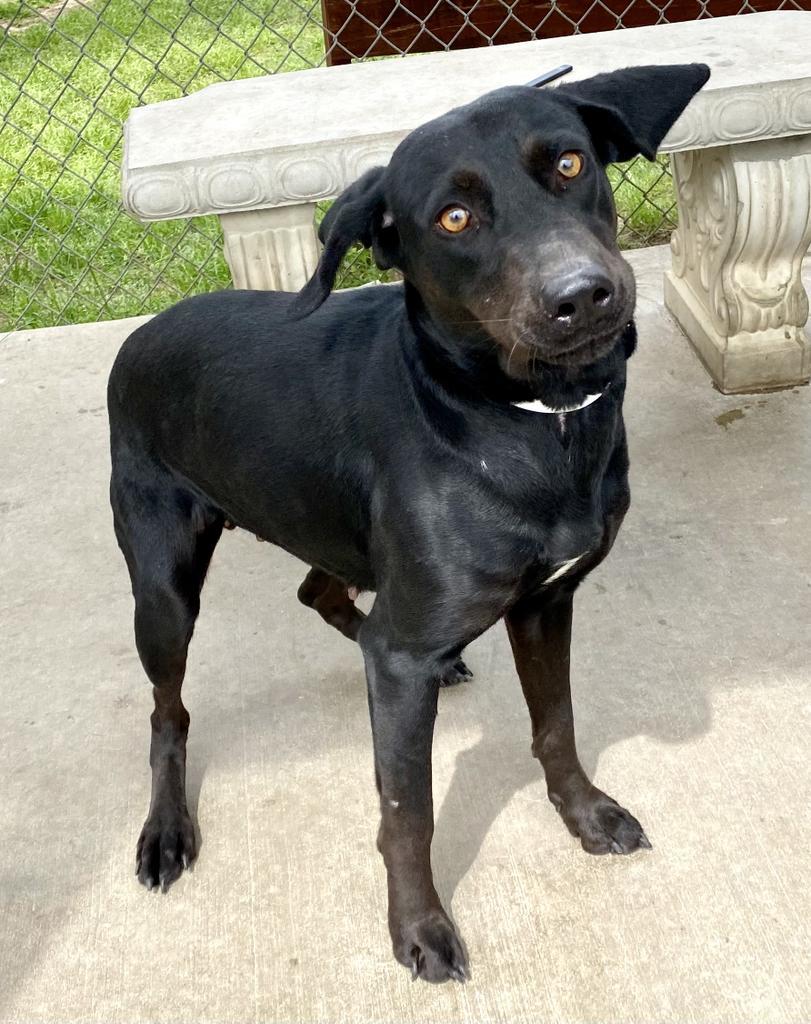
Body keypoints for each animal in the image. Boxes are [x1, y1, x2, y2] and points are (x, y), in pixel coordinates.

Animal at [109, 64, 708, 983]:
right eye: (452, 218)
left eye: (569, 163)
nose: (581, 295)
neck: (532, 420)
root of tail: (141, 333)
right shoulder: (402, 661)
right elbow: (406, 808)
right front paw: (418, 925)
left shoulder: (544, 604)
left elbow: (557, 726)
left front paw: (584, 815)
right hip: (163, 589)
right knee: (167, 711)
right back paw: (167, 829)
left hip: (331, 532)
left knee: (322, 594)